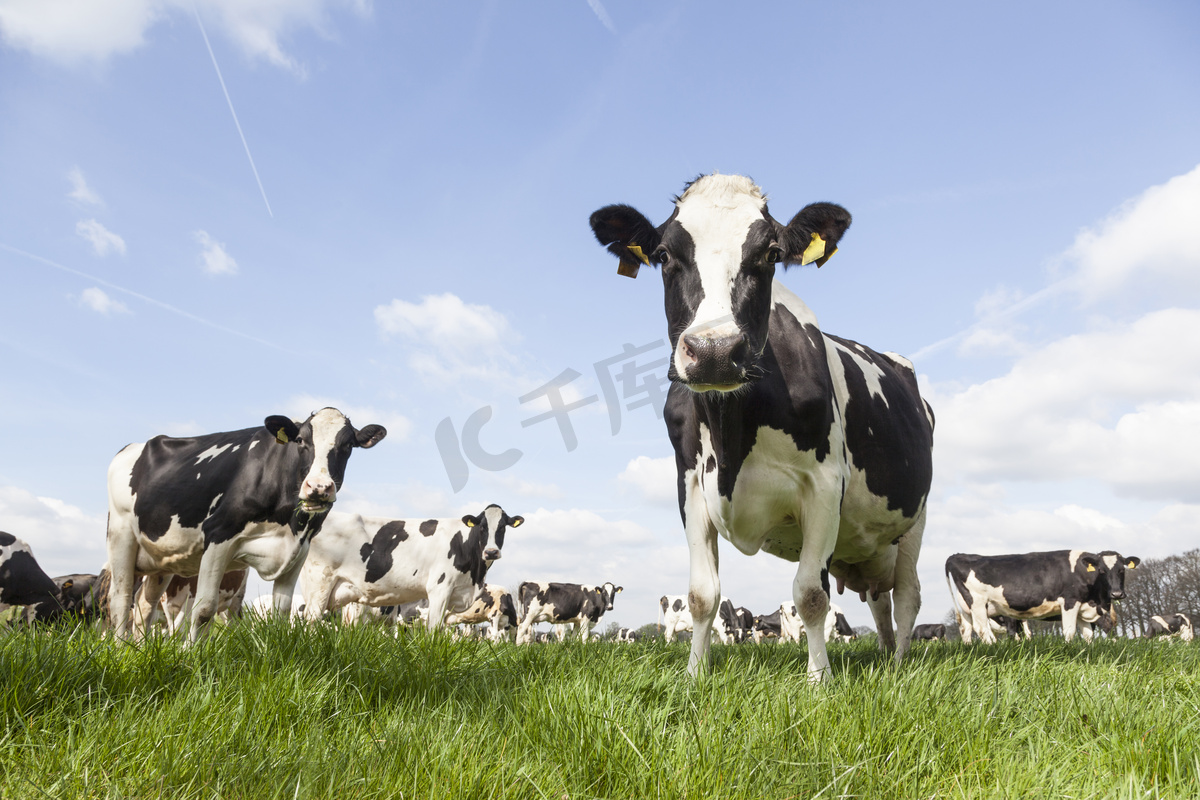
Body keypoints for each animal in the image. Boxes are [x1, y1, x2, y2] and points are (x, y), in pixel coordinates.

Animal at [105, 410, 384, 642]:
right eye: (301, 441)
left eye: (347, 445)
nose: (318, 487)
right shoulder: (218, 534)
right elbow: (204, 609)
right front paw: (191, 656)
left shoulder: (299, 549)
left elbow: (281, 611)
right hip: (121, 535)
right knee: (120, 600)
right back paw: (120, 650)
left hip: (161, 559)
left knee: (145, 606)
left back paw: (139, 649)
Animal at [300, 506, 520, 633]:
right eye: (482, 527)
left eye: (502, 527)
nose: (491, 552)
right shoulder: (440, 589)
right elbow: (434, 629)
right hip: (319, 584)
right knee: (311, 620)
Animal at [590, 172, 936, 681]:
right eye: (664, 255)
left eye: (771, 254)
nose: (714, 350)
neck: (733, 432)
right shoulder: (691, 486)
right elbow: (702, 595)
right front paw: (694, 676)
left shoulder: (825, 485)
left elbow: (811, 596)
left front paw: (819, 680)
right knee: (880, 601)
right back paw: (885, 655)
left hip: (914, 519)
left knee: (907, 595)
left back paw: (899, 664)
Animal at [940, 551, 1137, 642]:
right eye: (1102, 570)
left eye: (1121, 570)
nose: (1117, 593)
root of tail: (958, 555)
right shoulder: (1070, 602)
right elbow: (1069, 631)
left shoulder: (1084, 607)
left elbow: (1088, 634)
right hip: (979, 603)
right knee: (982, 630)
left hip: (967, 608)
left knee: (966, 630)